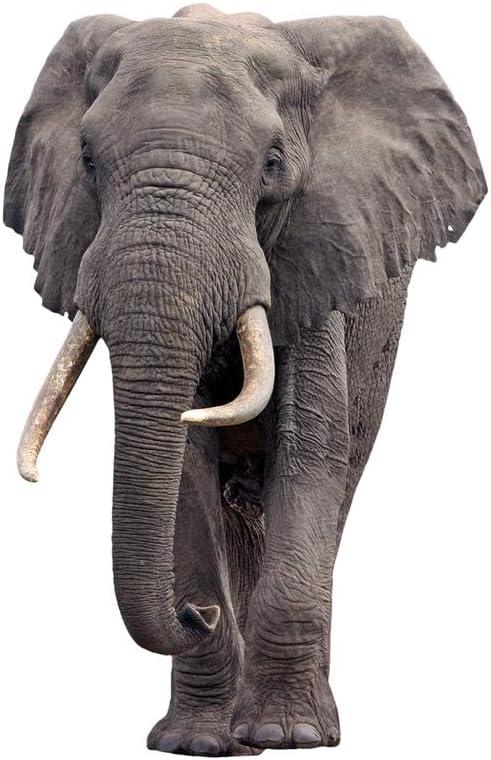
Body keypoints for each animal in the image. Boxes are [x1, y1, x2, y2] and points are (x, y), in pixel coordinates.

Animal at [3, 3, 486, 756]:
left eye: (273, 164)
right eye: (86, 160)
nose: (194, 614)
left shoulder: (318, 255)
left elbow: (309, 454)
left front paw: (292, 734)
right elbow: (184, 475)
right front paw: (198, 742)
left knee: (337, 482)